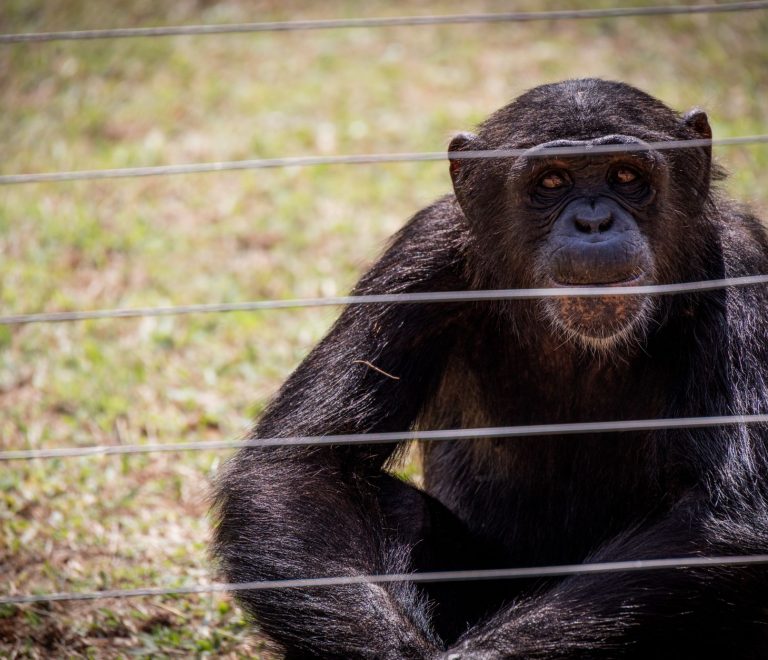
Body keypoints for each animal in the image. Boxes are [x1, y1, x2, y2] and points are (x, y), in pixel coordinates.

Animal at [212, 79, 768, 658]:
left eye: (625, 176)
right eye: (552, 181)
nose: (593, 221)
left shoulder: (740, 264)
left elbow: (722, 512)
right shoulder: (419, 258)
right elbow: (299, 466)